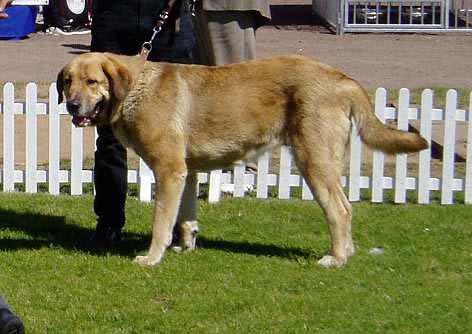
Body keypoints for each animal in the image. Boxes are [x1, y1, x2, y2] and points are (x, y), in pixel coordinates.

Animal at [56, 51, 428, 266]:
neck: (135, 89)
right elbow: (185, 218)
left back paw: (336, 258)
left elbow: (161, 222)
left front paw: (151, 257)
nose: (71, 105)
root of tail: (343, 79)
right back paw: (346, 252)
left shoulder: (169, 170)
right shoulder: (187, 172)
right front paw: (185, 246)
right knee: (345, 209)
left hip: (314, 161)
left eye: (93, 81)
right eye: (68, 81)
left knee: (340, 210)